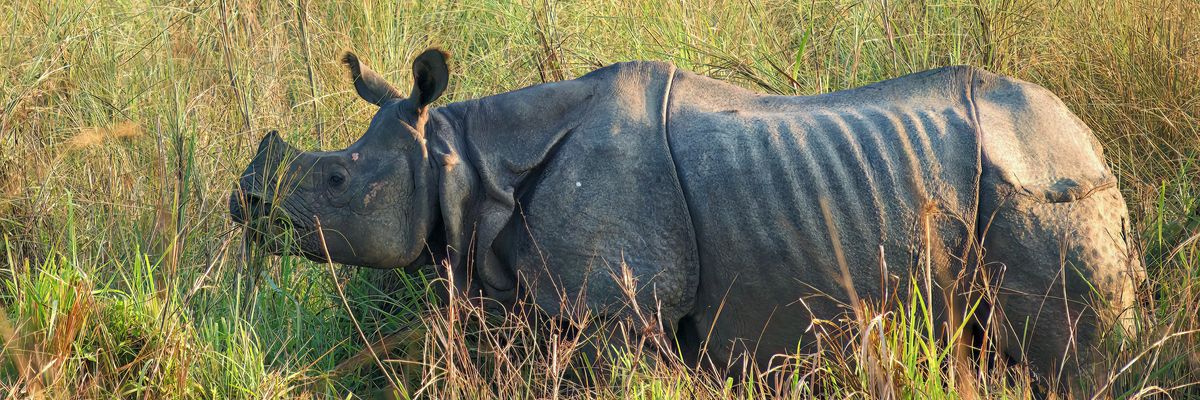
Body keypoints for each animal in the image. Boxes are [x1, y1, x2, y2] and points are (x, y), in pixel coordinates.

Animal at [230, 48, 1144, 385]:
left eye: (337, 179)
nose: (244, 203)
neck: (462, 158)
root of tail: (1093, 142)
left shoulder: (620, 308)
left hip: (1046, 192)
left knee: (1070, 360)